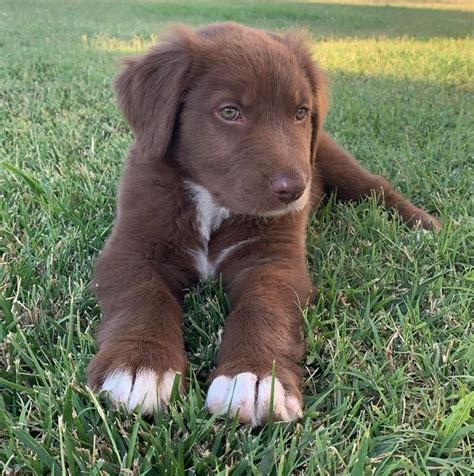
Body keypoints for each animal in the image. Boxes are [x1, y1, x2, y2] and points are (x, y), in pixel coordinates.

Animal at [87, 22, 438, 426]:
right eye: (229, 112)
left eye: (300, 112)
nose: (296, 190)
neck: (213, 203)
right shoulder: (133, 248)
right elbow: (144, 296)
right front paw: (138, 367)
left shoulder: (273, 259)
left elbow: (263, 308)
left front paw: (253, 377)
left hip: (328, 156)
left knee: (375, 186)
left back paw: (422, 226)